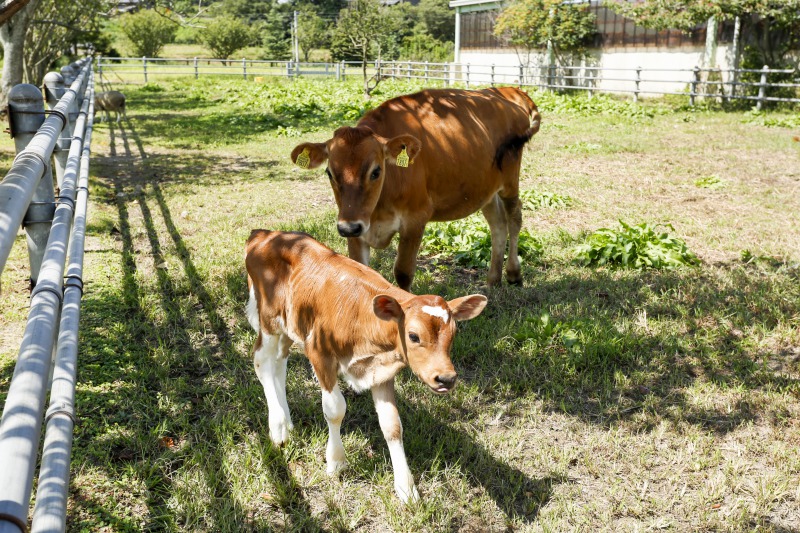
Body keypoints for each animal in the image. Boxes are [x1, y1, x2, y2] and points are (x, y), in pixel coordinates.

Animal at [245, 230, 488, 502]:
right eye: (413, 336)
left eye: (454, 333)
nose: (446, 378)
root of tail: (266, 234)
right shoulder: (319, 352)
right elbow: (335, 409)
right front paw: (337, 462)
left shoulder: (381, 372)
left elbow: (392, 425)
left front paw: (406, 488)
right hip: (268, 318)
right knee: (262, 361)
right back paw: (278, 427)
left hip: (290, 325)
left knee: (279, 363)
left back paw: (286, 421)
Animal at [290, 86, 540, 290]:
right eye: (329, 173)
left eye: (376, 171)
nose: (349, 227)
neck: (378, 208)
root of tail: (506, 90)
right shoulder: (356, 227)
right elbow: (359, 270)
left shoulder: (415, 218)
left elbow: (403, 273)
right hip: (486, 190)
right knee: (498, 224)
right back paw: (493, 280)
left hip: (510, 182)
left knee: (514, 218)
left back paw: (514, 274)